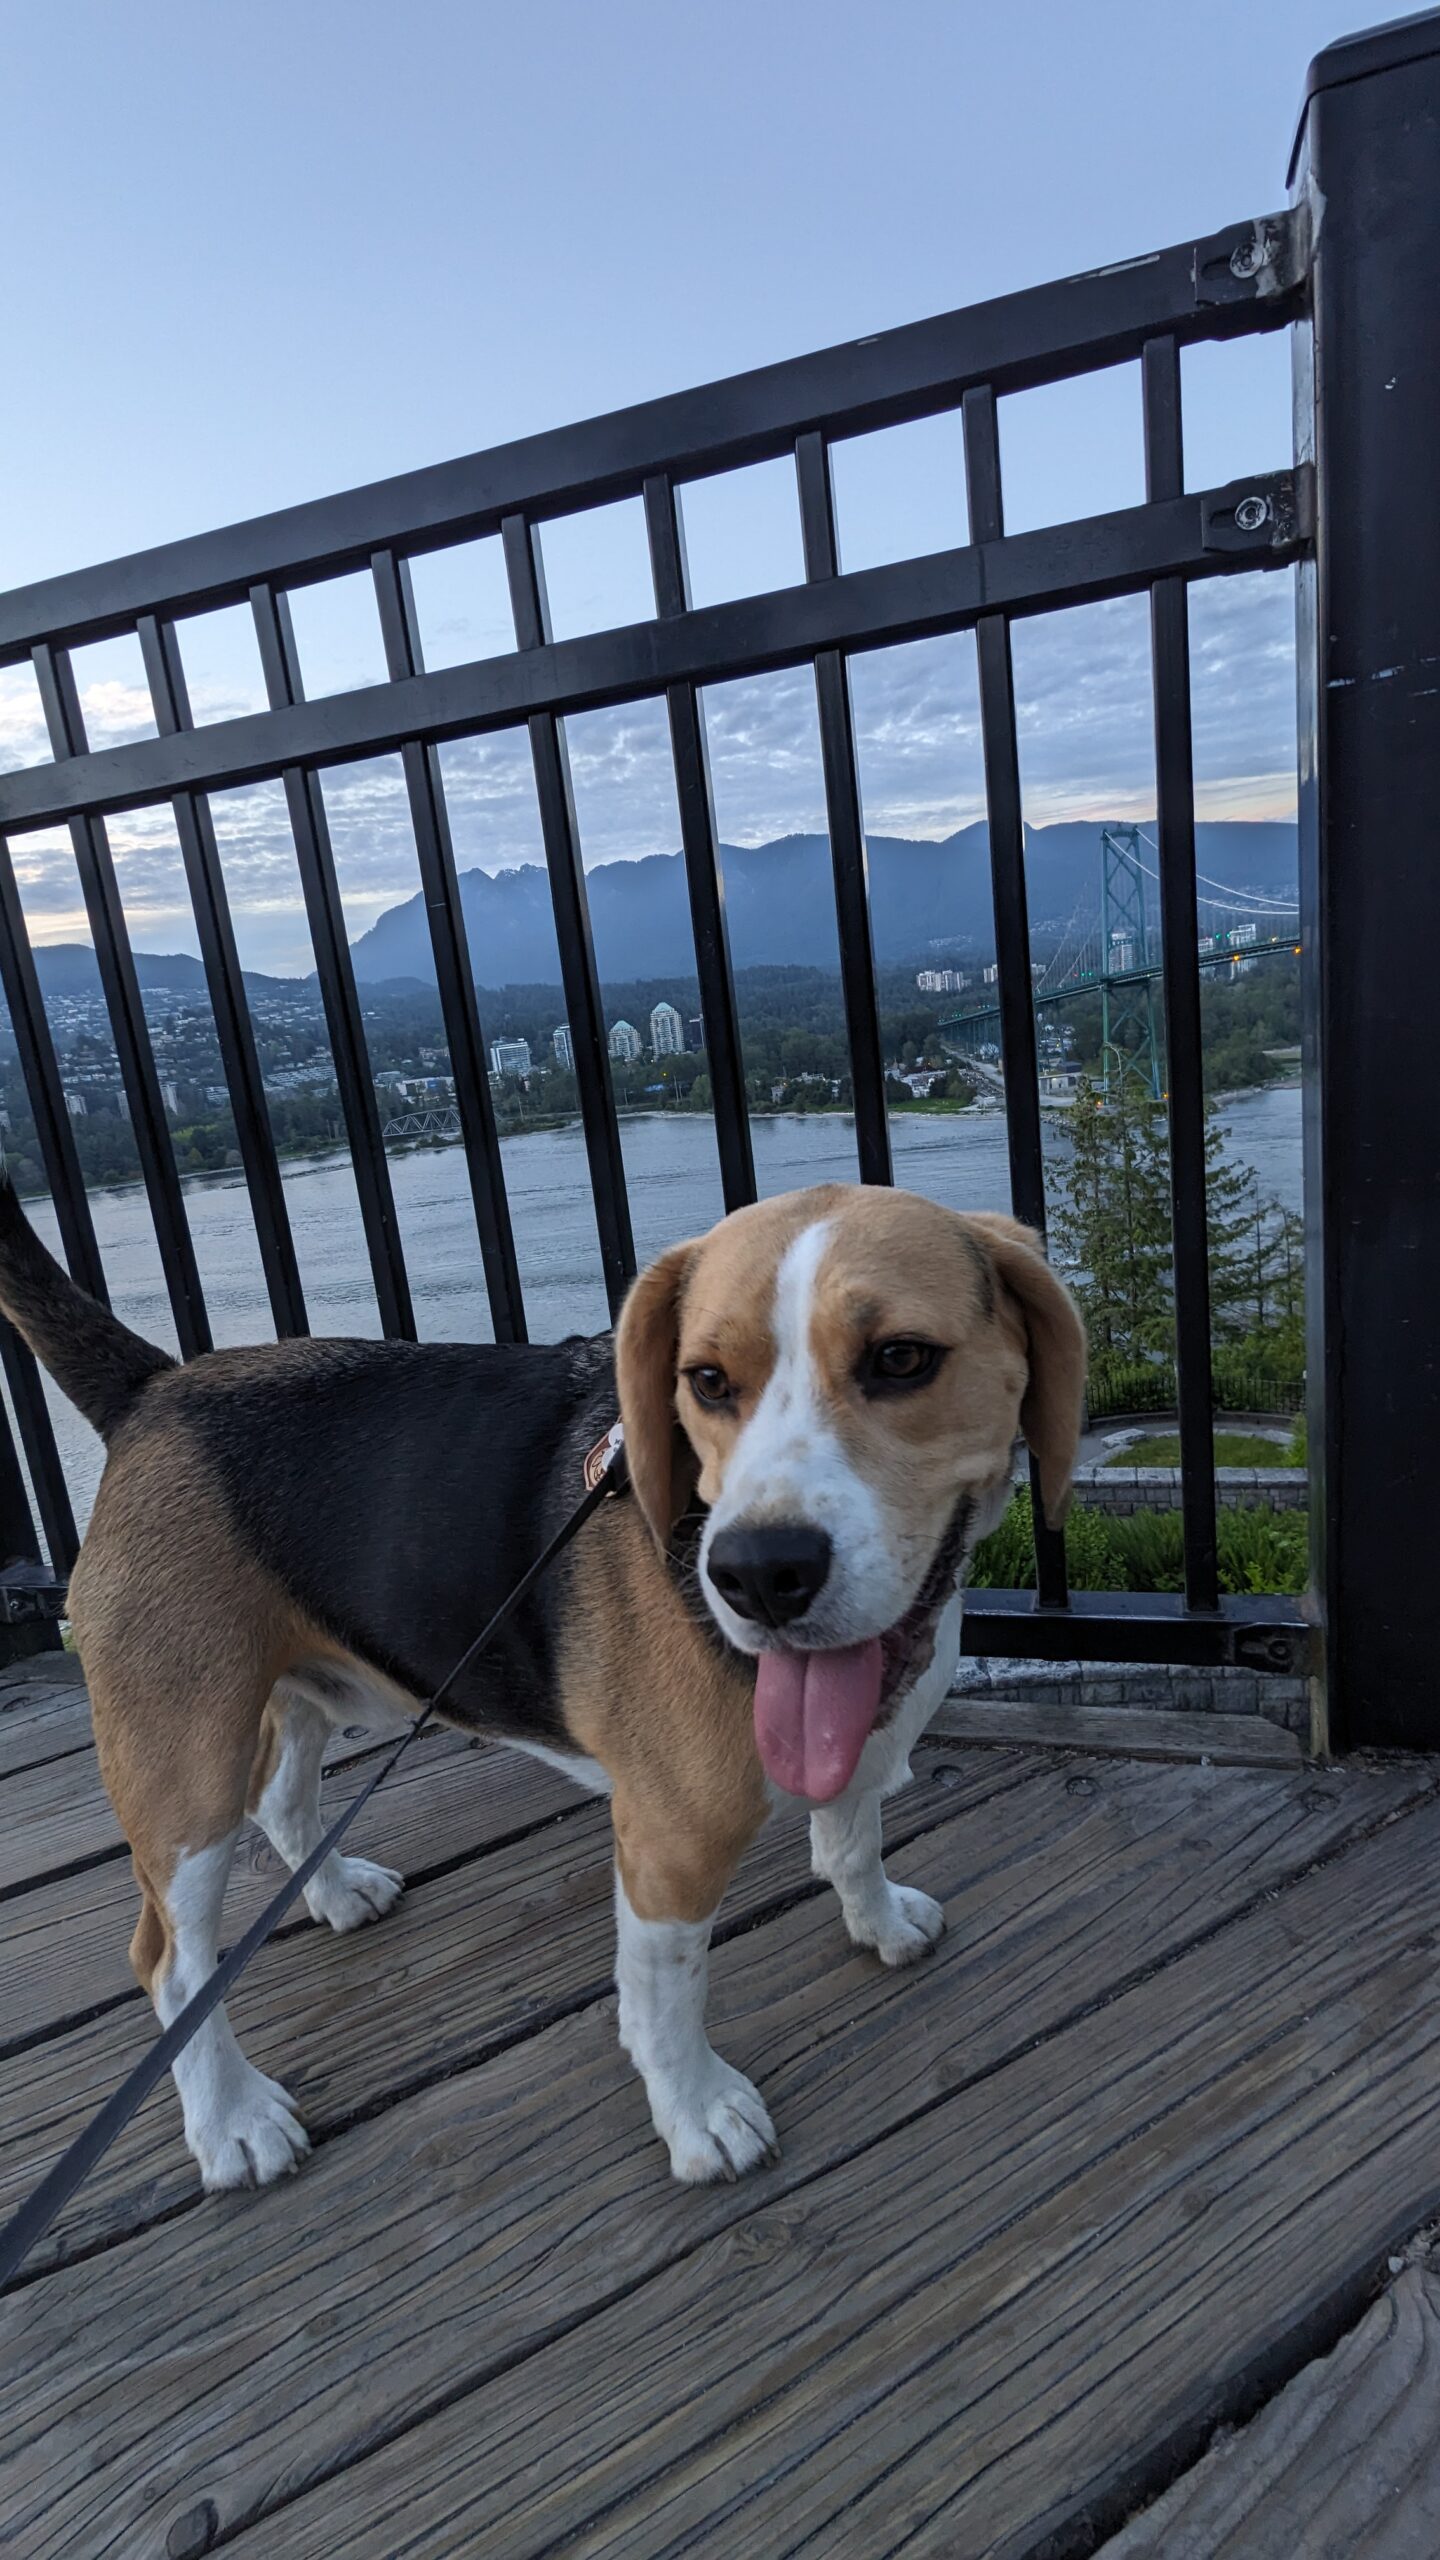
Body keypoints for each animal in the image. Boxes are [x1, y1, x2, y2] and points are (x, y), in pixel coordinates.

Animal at [0, 1177, 1076, 2201]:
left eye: (901, 1359)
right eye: (707, 1381)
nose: (759, 1575)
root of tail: (156, 1386)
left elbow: (852, 1842)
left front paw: (880, 1922)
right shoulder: (669, 1846)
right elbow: (665, 1997)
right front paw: (697, 2113)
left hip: (305, 1692)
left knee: (281, 1796)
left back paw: (338, 1891)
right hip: (182, 1761)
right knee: (170, 1960)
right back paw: (230, 2119)